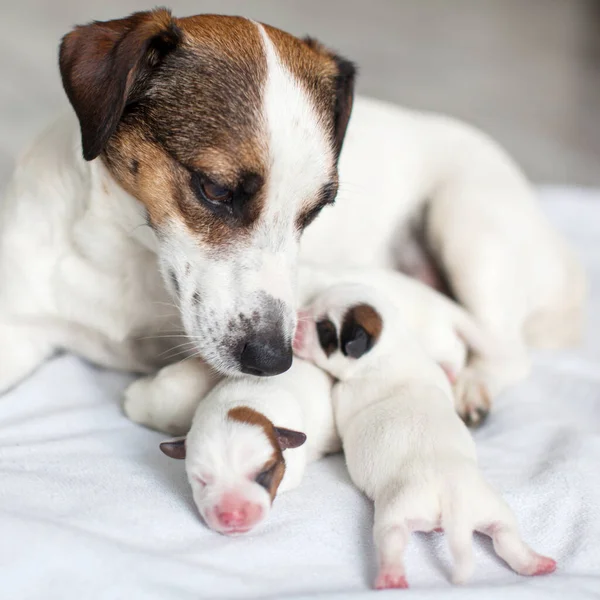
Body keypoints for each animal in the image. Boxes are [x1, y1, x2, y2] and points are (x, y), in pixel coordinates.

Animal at [0, 7, 580, 424]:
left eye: (317, 210)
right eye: (215, 189)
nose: (273, 360)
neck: (127, 258)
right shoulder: (20, 327)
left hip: (468, 226)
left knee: (507, 350)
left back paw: (473, 388)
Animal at [296, 284, 556, 588]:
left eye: (323, 329)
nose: (297, 320)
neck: (390, 349)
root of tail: (453, 497)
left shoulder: (344, 393)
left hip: (396, 511)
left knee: (392, 539)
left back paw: (391, 576)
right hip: (494, 509)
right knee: (506, 537)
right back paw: (535, 564)